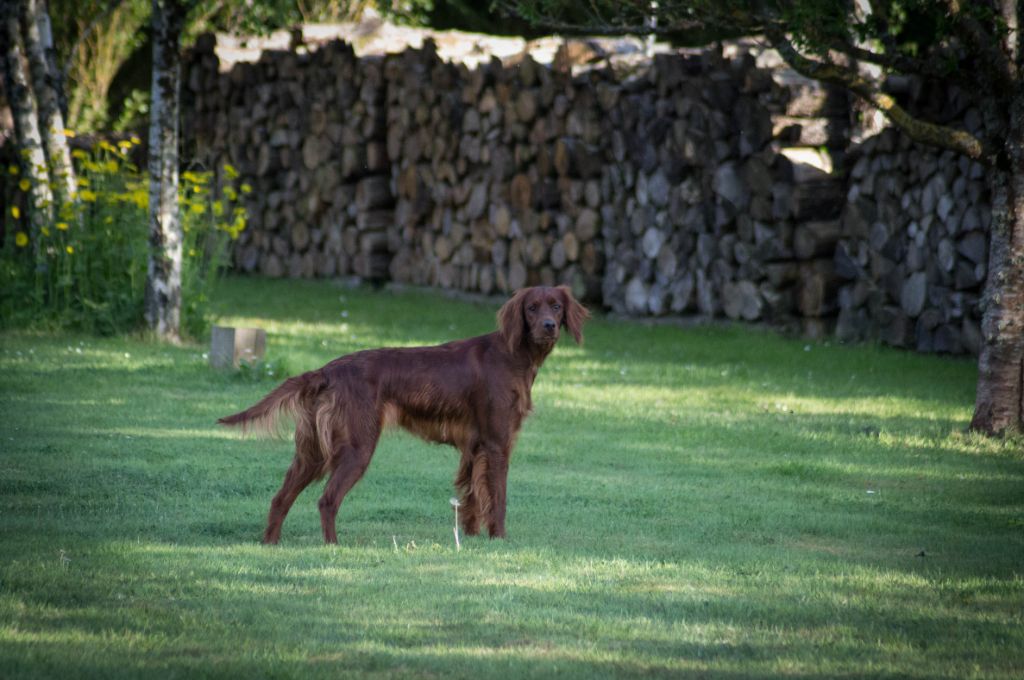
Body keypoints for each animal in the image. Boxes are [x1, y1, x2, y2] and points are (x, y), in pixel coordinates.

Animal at [220, 284, 589, 544]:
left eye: (556, 306)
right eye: (531, 307)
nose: (548, 326)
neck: (513, 354)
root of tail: (327, 370)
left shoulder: (475, 446)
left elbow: (472, 497)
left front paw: (471, 538)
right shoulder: (498, 444)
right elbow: (497, 498)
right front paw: (499, 539)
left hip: (312, 452)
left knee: (280, 497)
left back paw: (270, 543)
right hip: (357, 447)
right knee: (327, 500)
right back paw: (333, 546)